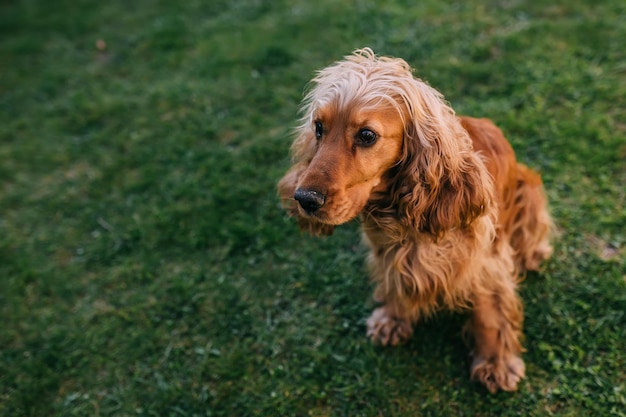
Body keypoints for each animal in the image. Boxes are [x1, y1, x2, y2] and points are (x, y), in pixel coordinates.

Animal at [278, 48, 552, 394]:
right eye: (318, 128)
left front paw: (496, 364)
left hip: (529, 190)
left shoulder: (485, 260)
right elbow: (394, 281)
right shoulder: (387, 250)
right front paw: (393, 319)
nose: (304, 199)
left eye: (366, 135)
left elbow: (489, 312)